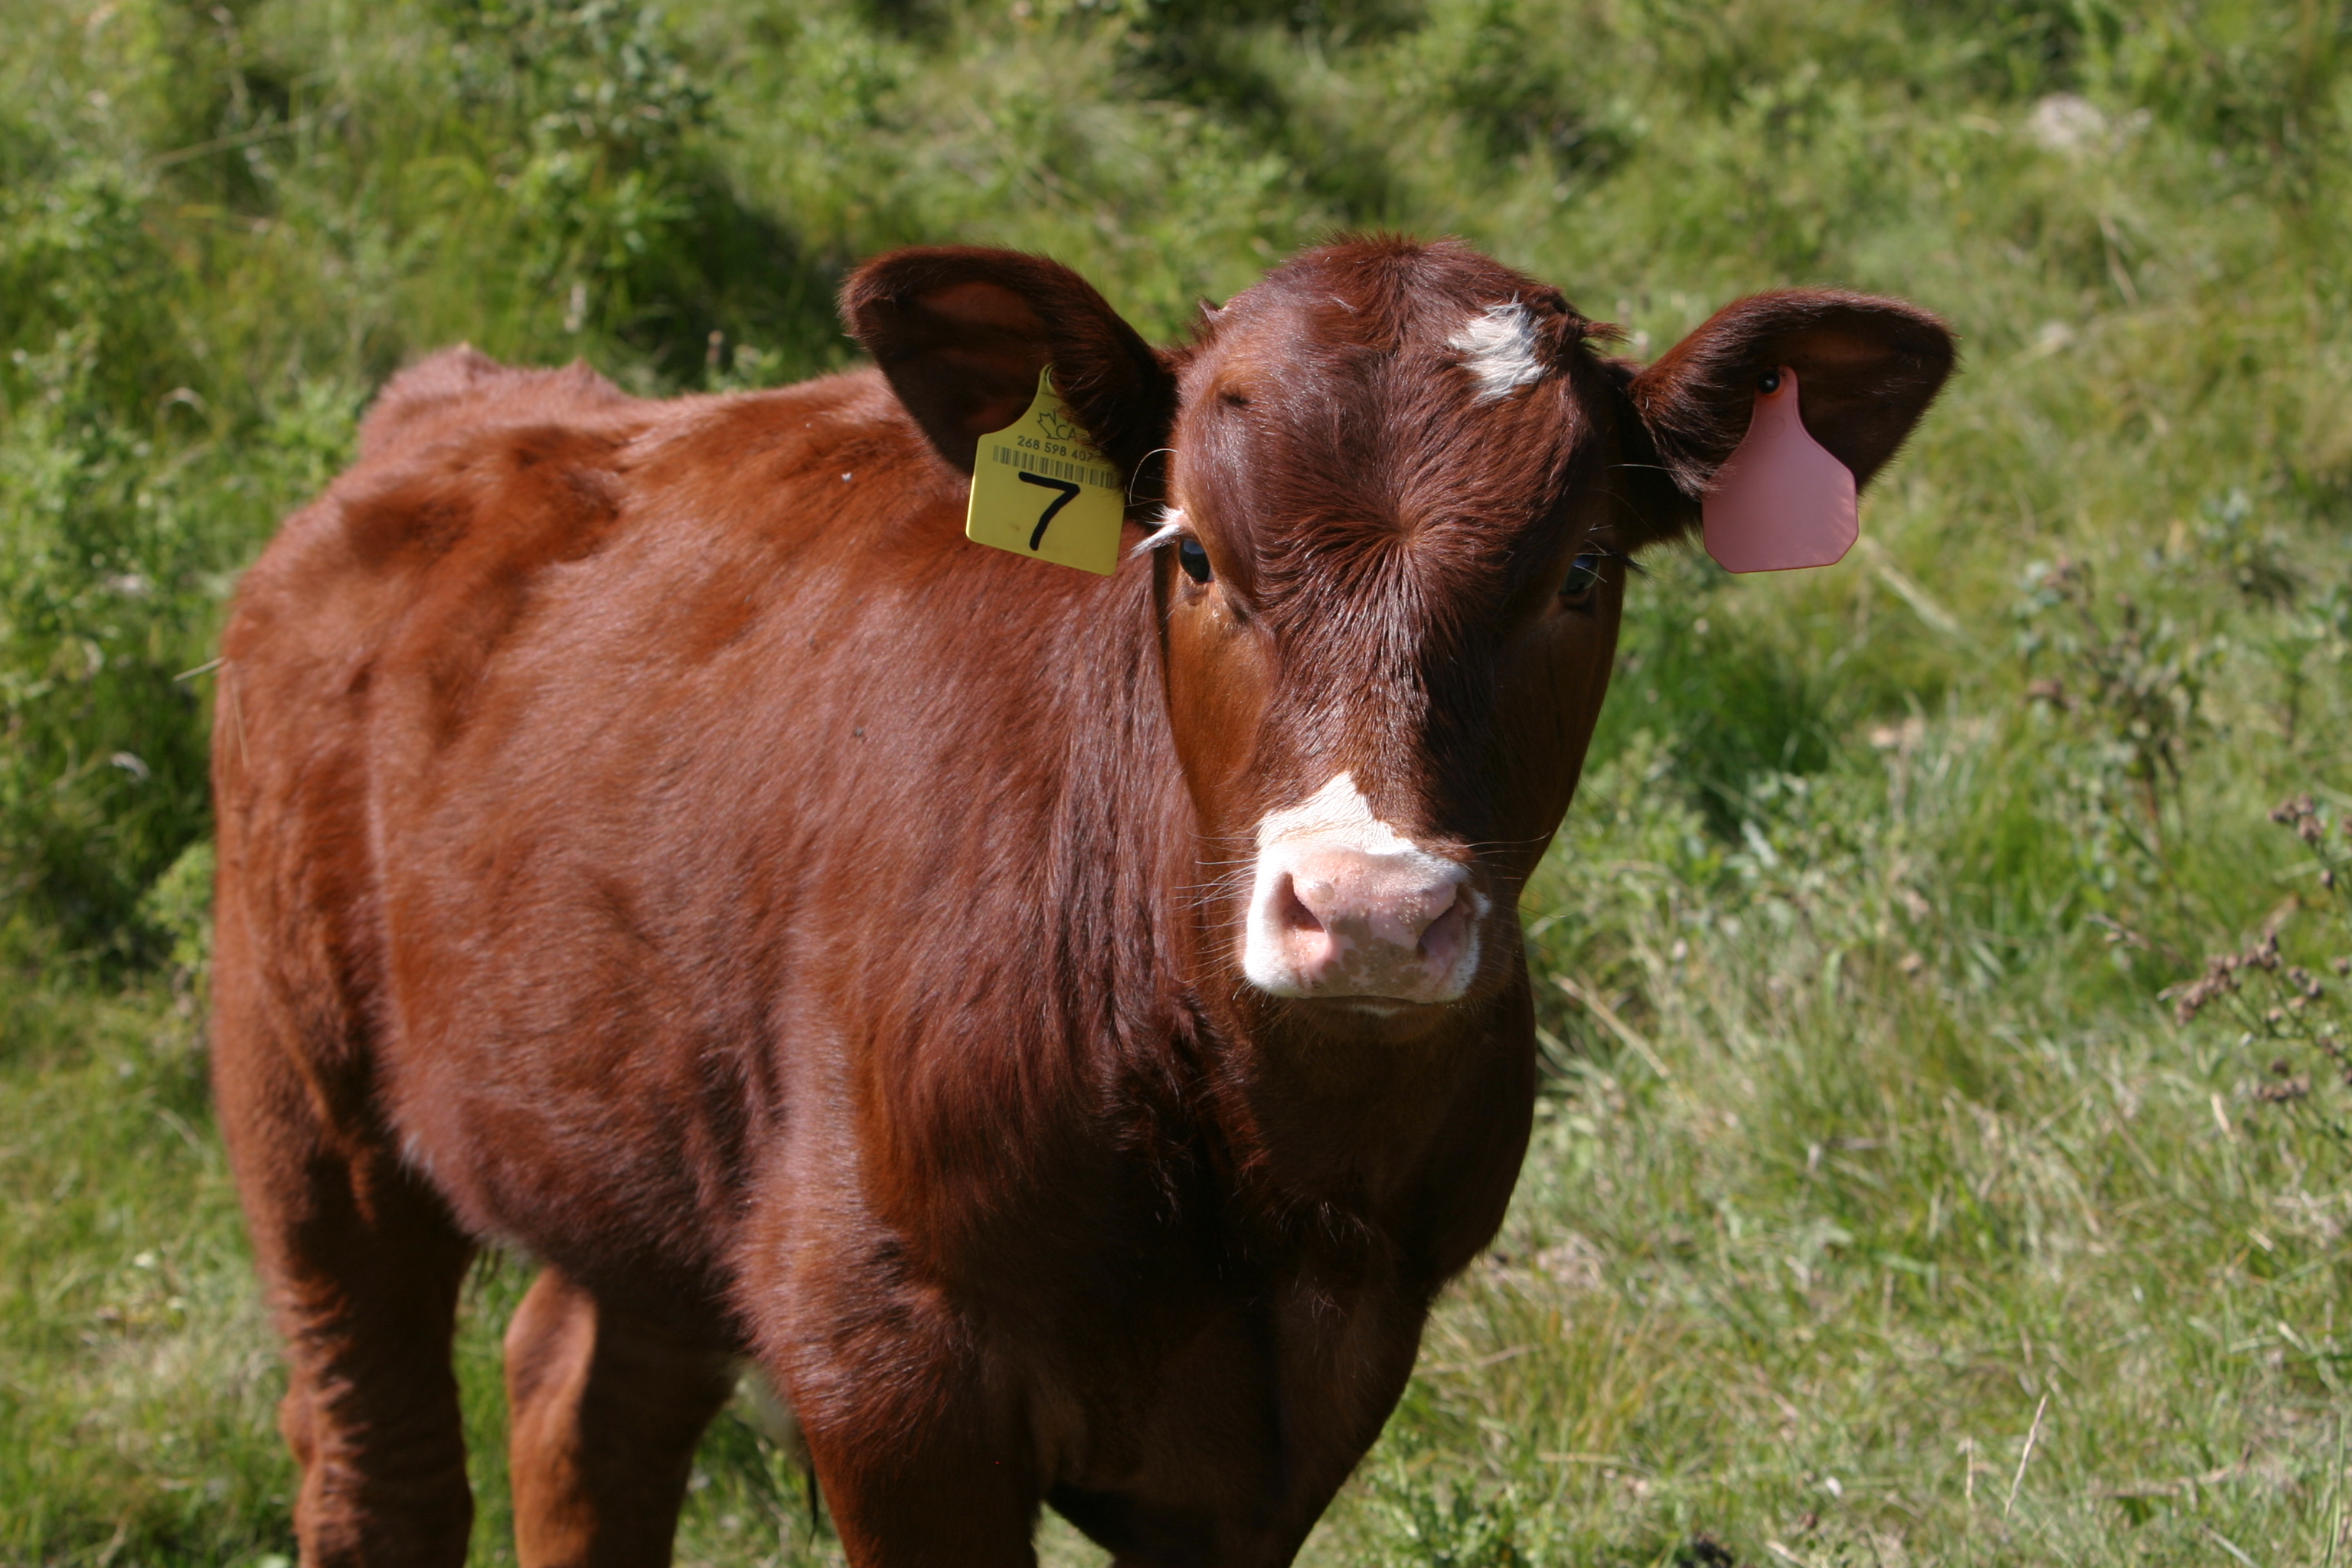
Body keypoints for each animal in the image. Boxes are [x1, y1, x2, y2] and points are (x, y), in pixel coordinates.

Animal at [209, 236, 1951, 1566]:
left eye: (1583, 570)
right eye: (1189, 551)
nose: (1370, 909)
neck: (1257, 1180)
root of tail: (468, 402)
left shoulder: (1303, 1404)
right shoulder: (889, 1360)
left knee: (583, 1402)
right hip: (303, 1087)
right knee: (377, 1456)